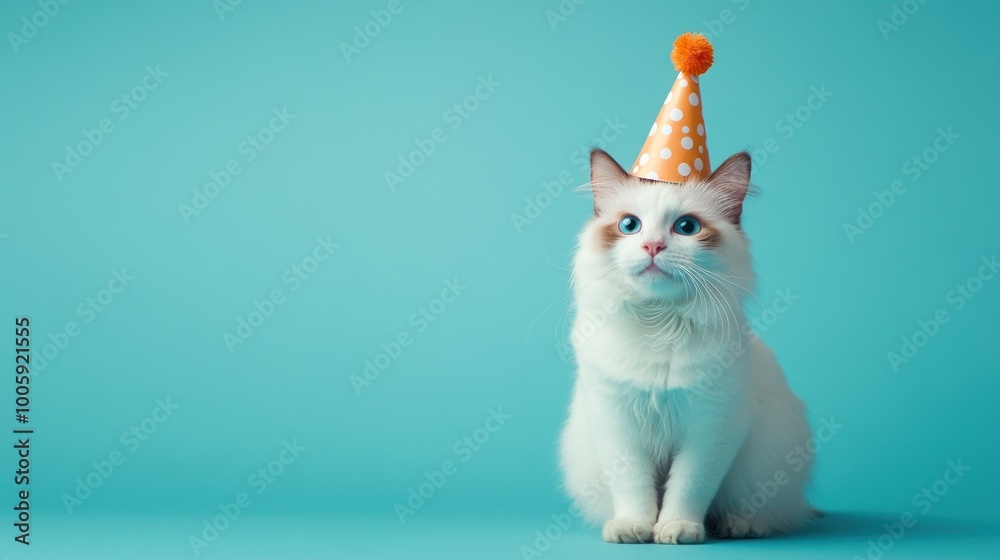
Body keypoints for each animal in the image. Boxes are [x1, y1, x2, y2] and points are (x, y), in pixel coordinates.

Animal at [560, 149, 816, 544]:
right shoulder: (615, 421)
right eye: (630, 226)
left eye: (686, 228)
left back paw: (739, 525)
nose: (652, 246)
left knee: (765, 509)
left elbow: (689, 487)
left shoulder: (713, 427)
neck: (660, 323)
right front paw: (634, 527)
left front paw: (677, 528)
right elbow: (632, 485)